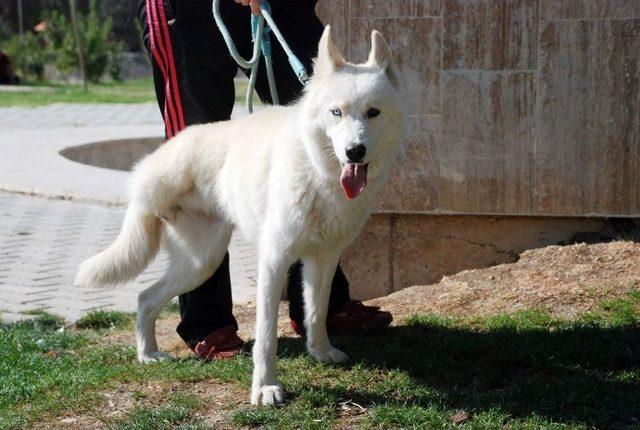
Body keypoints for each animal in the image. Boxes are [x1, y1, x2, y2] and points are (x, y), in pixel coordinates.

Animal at [75, 27, 402, 406]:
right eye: (336, 112)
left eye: (373, 112)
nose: (354, 152)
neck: (316, 171)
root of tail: (149, 170)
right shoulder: (274, 261)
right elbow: (266, 337)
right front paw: (265, 388)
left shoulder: (323, 259)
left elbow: (316, 312)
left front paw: (320, 352)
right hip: (205, 264)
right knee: (147, 298)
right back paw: (150, 354)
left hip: (201, 263)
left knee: (144, 298)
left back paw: (149, 354)